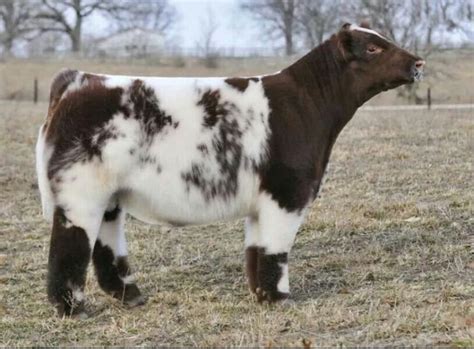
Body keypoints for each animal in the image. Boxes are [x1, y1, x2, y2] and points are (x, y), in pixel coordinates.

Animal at [35, 21, 424, 316]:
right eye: (372, 48)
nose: (418, 63)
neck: (307, 104)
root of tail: (78, 80)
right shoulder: (286, 191)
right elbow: (275, 249)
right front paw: (279, 298)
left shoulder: (262, 200)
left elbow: (257, 249)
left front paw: (261, 295)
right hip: (81, 192)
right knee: (69, 247)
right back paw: (72, 308)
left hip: (109, 196)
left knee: (106, 244)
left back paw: (131, 295)